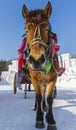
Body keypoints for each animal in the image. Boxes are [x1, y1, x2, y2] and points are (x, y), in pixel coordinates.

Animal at [22, 1, 58, 130]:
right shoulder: (33, 78)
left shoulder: (53, 78)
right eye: (26, 30)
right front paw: (39, 119)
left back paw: (44, 106)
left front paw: (50, 119)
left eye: (47, 28)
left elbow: (49, 98)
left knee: (43, 93)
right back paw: (36, 107)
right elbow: (37, 96)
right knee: (39, 96)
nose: (36, 60)